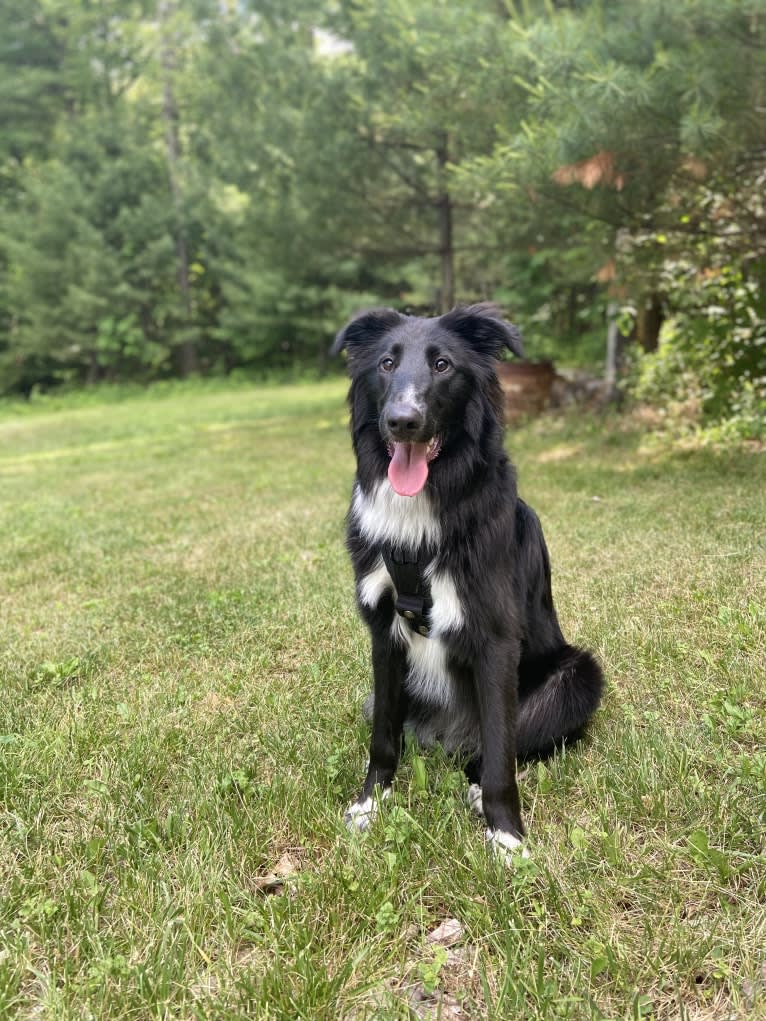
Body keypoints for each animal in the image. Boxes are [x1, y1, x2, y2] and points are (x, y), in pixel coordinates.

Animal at [332, 304, 604, 861]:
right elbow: (383, 739)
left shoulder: (494, 639)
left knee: (495, 749)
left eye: (443, 365)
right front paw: (371, 804)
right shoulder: (383, 634)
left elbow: (501, 753)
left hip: (578, 679)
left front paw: (507, 836)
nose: (403, 421)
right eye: (387, 363)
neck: (425, 510)